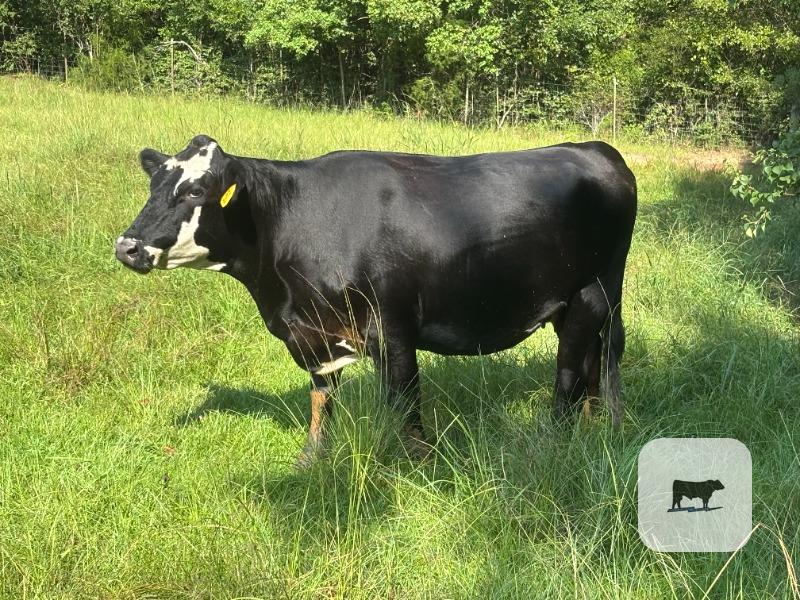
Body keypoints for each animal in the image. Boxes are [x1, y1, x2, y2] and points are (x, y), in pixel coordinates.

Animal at [115, 135, 637, 468]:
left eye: (195, 190)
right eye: (153, 186)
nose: (127, 247)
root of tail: (596, 149)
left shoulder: (393, 329)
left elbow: (404, 407)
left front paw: (419, 471)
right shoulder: (317, 336)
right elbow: (322, 403)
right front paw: (312, 460)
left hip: (593, 291)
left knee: (572, 372)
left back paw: (559, 437)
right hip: (576, 304)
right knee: (593, 364)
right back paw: (596, 430)